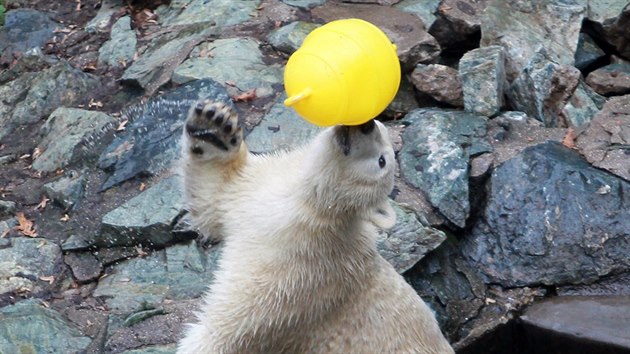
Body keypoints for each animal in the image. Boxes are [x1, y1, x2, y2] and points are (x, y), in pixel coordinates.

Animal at [178, 100, 454, 354]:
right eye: (381, 126)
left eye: (382, 161)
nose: (366, 125)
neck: (307, 204)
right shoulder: (254, 192)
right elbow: (215, 194)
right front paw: (213, 126)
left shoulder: (298, 274)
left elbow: (233, 326)